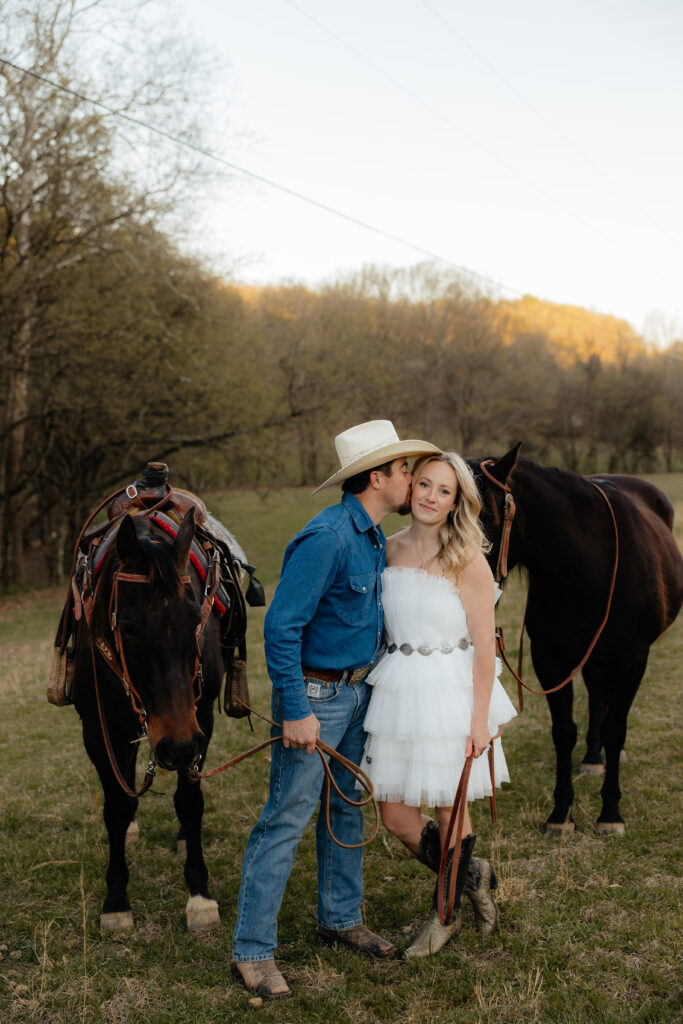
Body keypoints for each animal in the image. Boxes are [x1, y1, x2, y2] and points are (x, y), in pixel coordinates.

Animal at [71, 507, 227, 933]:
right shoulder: (98, 729)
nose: (177, 745)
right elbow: (117, 806)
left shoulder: (200, 719)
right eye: (127, 627)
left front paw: (200, 897)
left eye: (195, 618)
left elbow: (189, 801)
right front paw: (115, 902)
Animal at [471, 446, 683, 831]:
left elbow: (616, 729)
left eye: (486, 517)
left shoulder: (632, 658)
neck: (586, 566)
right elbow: (563, 731)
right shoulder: (549, 658)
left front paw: (610, 812)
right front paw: (561, 814)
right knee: (597, 694)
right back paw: (593, 757)